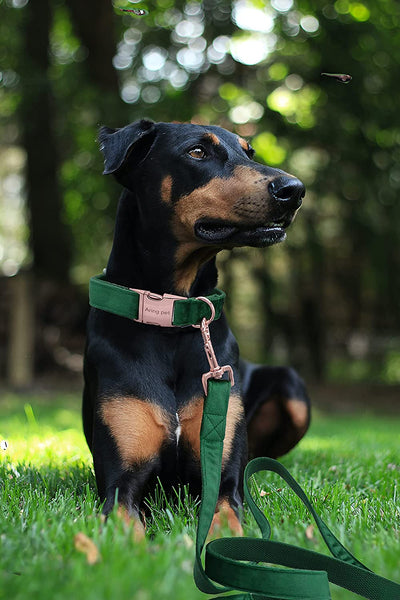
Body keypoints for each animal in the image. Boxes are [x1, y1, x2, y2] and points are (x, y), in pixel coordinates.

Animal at [83, 119, 310, 536]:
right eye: (198, 152)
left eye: (249, 152)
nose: (295, 190)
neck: (171, 315)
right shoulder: (121, 482)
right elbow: (124, 526)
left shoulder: (223, 479)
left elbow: (227, 520)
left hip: (292, 387)